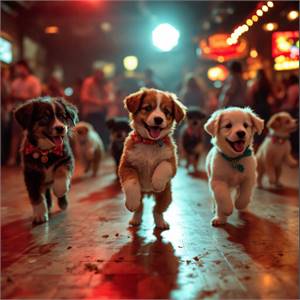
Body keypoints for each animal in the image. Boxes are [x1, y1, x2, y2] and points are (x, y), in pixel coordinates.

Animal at [118, 88, 186, 229]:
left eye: (167, 112)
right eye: (148, 108)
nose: (158, 119)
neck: (150, 143)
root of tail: (148, 193)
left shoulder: (172, 162)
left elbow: (163, 166)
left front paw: (157, 182)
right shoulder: (125, 165)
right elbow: (131, 183)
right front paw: (132, 202)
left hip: (167, 197)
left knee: (157, 210)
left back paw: (161, 222)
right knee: (140, 207)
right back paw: (135, 219)